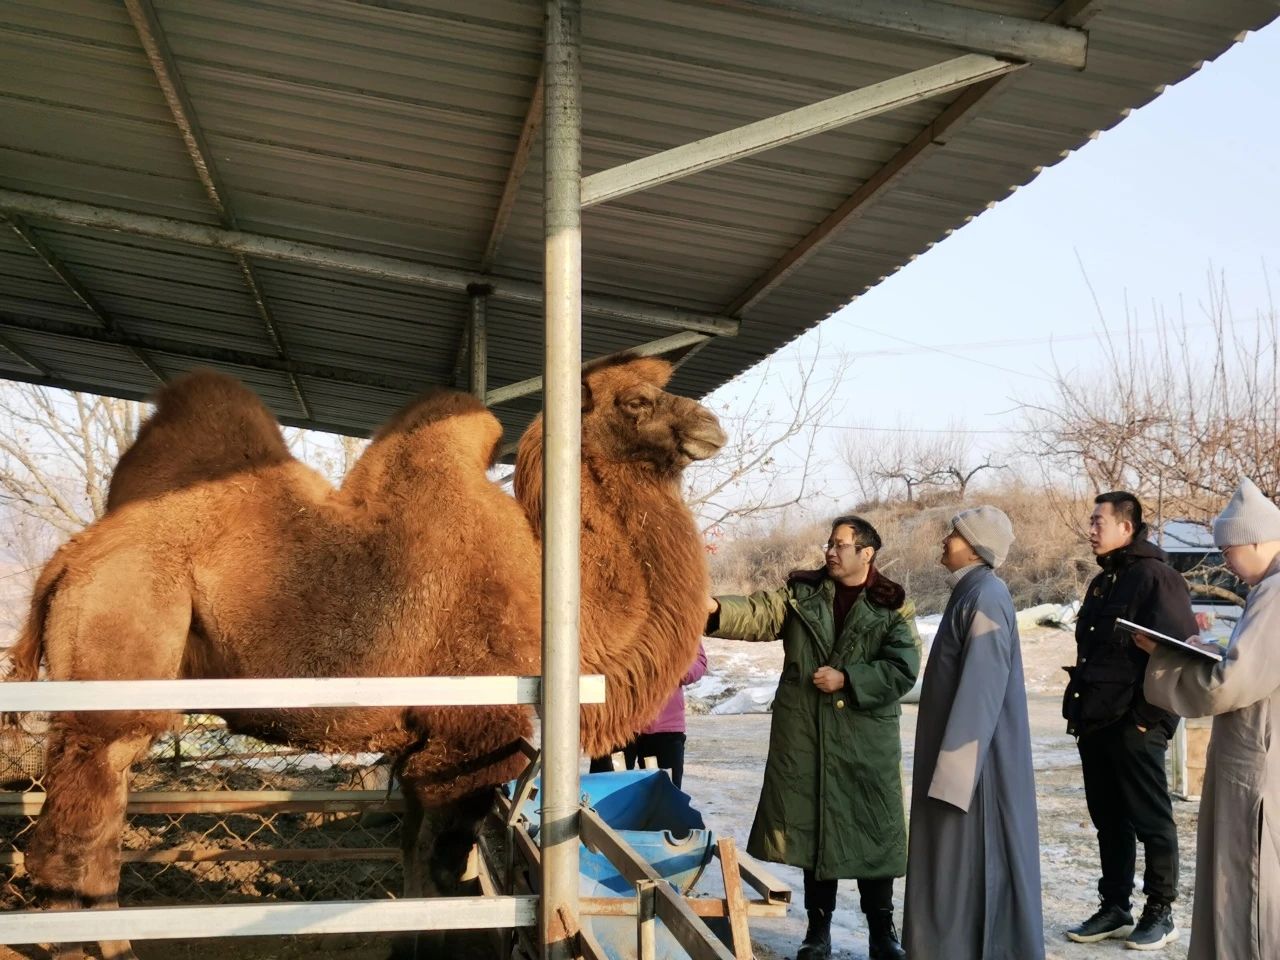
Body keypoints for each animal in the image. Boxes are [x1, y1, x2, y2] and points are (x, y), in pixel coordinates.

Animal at [5, 355, 721, 960]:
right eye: (636, 399)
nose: (710, 425)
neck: (558, 609)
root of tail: (67, 559)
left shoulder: (425, 747)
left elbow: (413, 859)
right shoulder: (471, 736)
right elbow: (444, 870)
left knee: (98, 829)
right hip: (114, 663)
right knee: (67, 843)